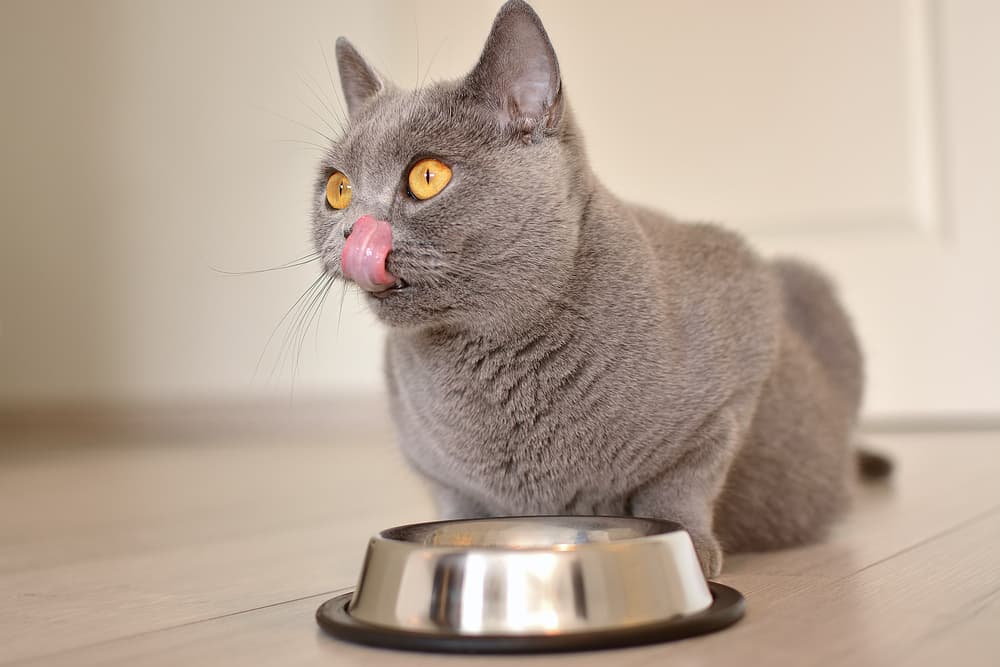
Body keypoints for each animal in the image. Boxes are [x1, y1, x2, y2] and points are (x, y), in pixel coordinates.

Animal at [314, 0, 892, 576]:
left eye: (427, 177)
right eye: (337, 189)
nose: (352, 232)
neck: (487, 361)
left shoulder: (739, 357)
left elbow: (683, 481)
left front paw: (688, 545)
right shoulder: (432, 465)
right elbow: (458, 504)